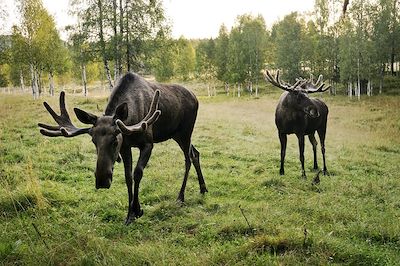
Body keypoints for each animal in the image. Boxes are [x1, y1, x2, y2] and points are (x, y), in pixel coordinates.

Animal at [38, 71, 208, 223]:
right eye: (93, 141)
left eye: (115, 140)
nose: (102, 180)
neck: (132, 121)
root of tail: (196, 97)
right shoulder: (126, 147)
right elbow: (128, 177)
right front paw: (129, 214)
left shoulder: (148, 143)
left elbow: (137, 173)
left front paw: (137, 210)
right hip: (176, 134)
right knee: (196, 153)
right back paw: (203, 188)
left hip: (185, 131)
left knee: (188, 158)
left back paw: (181, 197)